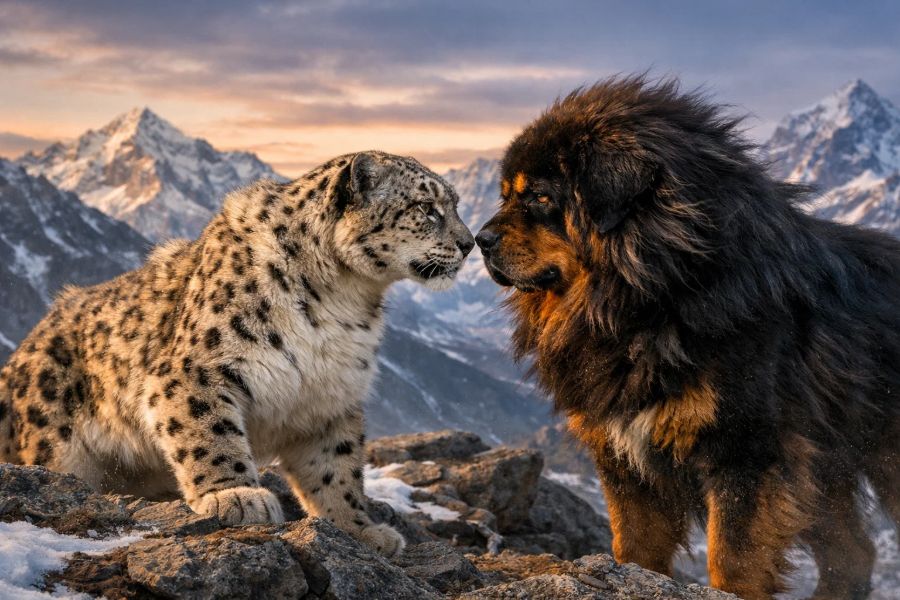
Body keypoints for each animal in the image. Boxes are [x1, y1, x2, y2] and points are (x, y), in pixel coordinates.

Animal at [0, 150, 474, 557]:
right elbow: (209, 433)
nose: (470, 244)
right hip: (58, 447)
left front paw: (360, 528)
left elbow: (337, 468)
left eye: (454, 204)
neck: (342, 300)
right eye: (426, 207)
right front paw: (236, 495)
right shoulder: (196, 373)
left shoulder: (331, 396)